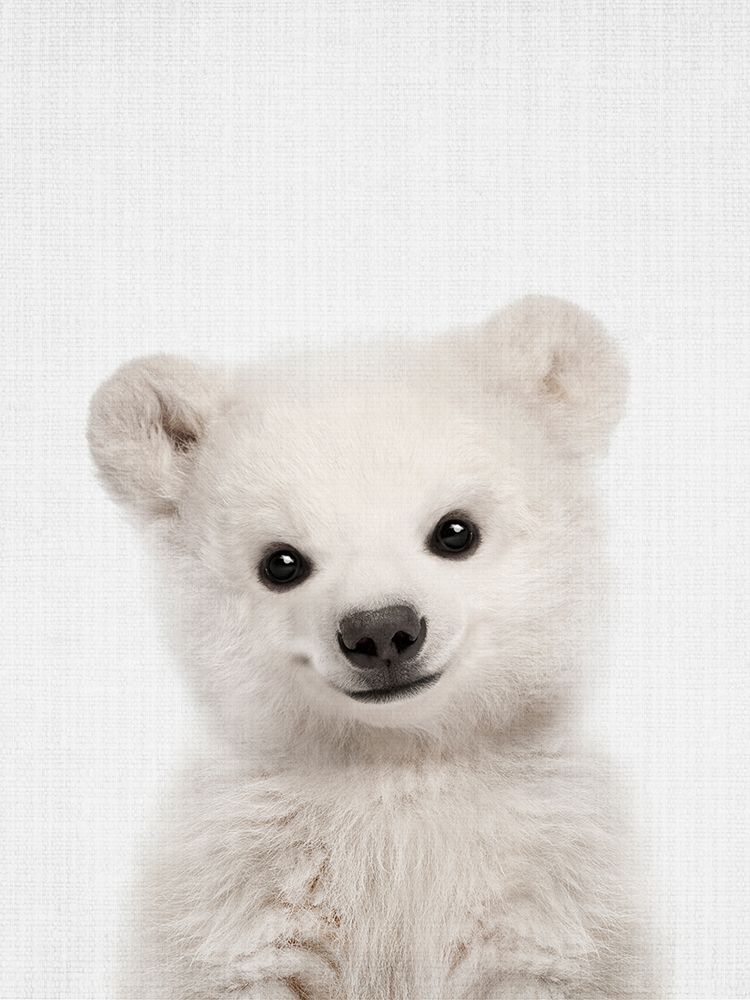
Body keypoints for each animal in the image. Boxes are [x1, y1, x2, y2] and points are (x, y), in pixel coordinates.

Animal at [87, 296, 648, 999]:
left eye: (456, 531)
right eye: (281, 562)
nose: (381, 630)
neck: (394, 763)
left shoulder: (546, 889)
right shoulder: (243, 893)